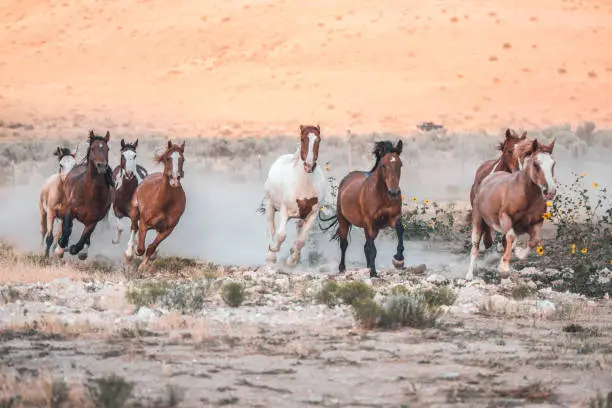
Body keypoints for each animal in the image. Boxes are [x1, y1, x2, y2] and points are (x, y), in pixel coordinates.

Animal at [55, 129, 115, 260]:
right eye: (92, 148)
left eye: (107, 149)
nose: (102, 166)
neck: (90, 193)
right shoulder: (70, 210)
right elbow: (67, 228)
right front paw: (61, 245)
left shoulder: (93, 221)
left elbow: (84, 237)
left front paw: (76, 249)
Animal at [126, 140, 186, 274]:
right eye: (168, 158)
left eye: (182, 159)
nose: (175, 179)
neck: (164, 203)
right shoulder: (144, 223)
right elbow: (141, 248)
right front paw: (136, 252)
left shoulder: (168, 229)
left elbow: (152, 247)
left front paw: (142, 266)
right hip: (134, 211)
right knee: (134, 228)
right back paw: (128, 254)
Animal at [262, 122, 330, 266]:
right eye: (302, 139)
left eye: (319, 140)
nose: (309, 166)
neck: (304, 184)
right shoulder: (284, 210)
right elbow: (281, 235)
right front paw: (274, 249)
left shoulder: (311, 215)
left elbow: (301, 241)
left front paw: (291, 260)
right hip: (270, 205)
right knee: (272, 228)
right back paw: (271, 255)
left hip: (300, 216)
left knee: (298, 231)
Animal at [320, 139, 406, 278]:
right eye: (383, 165)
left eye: (400, 165)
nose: (394, 193)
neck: (382, 196)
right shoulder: (369, 223)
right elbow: (373, 250)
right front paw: (373, 273)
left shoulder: (393, 218)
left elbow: (400, 230)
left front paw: (398, 259)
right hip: (344, 221)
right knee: (344, 244)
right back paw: (342, 268)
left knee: (366, 246)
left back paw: (367, 266)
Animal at [466, 137, 556, 280]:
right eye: (536, 164)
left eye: (553, 164)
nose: (551, 191)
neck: (526, 196)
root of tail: (488, 178)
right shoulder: (505, 217)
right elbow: (511, 237)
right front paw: (504, 268)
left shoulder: (536, 222)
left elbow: (534, 241)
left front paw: (518, 253)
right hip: (478, 219)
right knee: (475, 246)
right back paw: (469, 274)